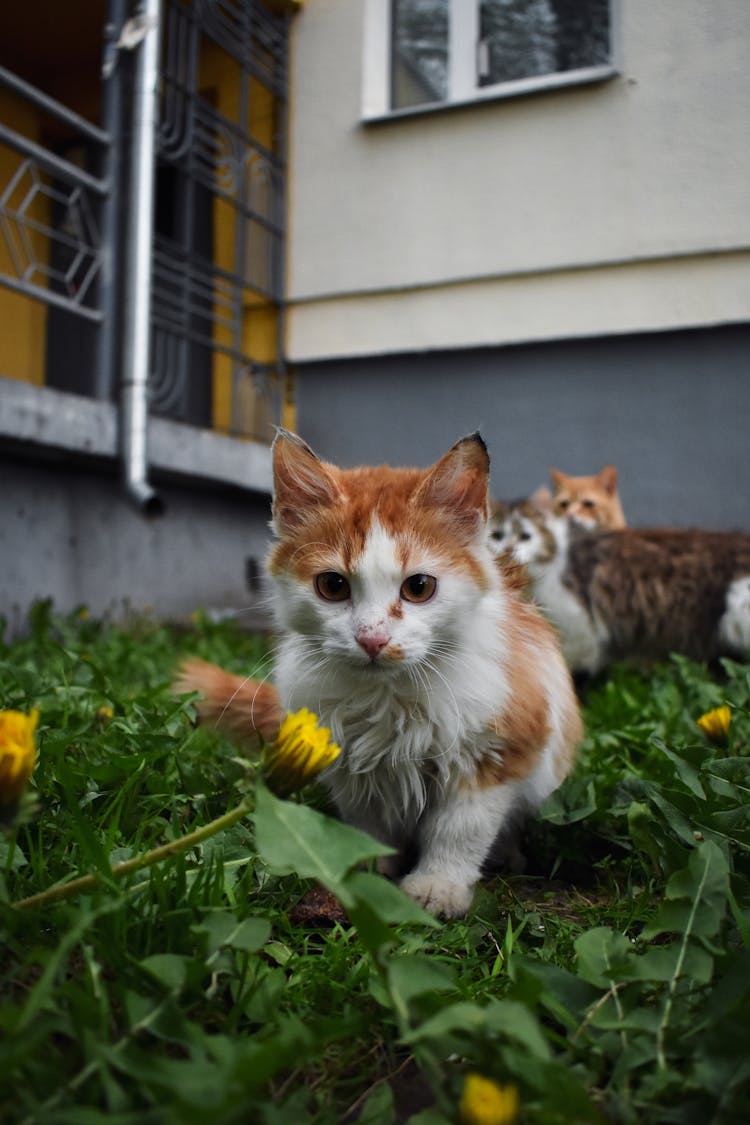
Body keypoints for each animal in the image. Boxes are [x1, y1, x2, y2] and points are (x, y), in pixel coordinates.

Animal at [178, 429, 584, 913]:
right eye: (332, 586)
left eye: (419, 587)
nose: (372, 639)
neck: (390, 701)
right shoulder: (346, 757)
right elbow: (367, 822)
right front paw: (366, 862)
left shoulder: (497, 752)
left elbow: (459, 832)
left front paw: (438, 885)